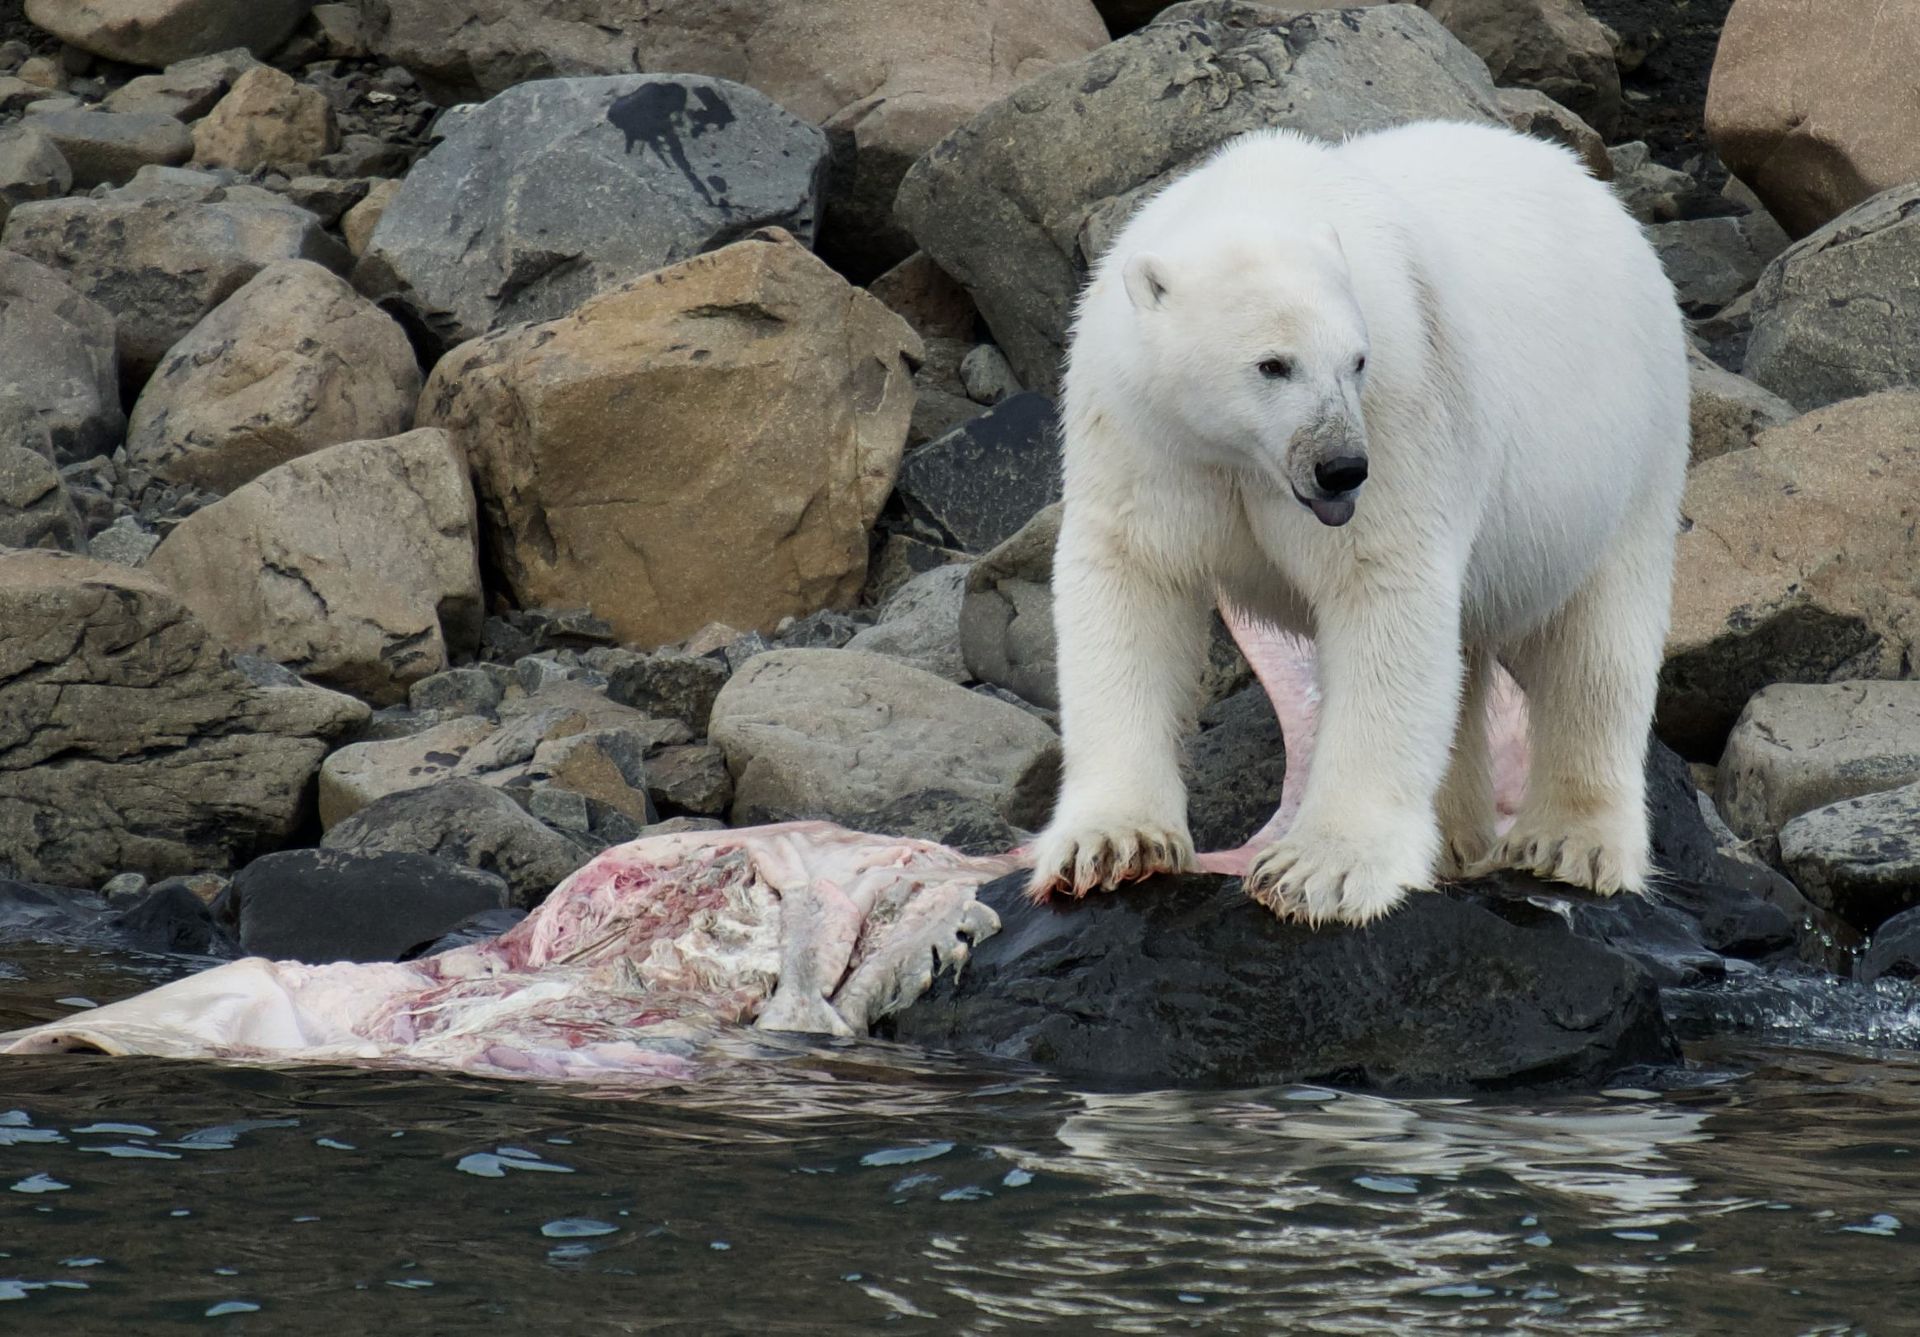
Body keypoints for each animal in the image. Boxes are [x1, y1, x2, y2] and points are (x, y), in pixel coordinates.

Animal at [1028, 120, 1690, 926]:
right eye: (1272, 364)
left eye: (1356, 361)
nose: (1341, 467)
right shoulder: (1143, 433)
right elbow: (1132, 578)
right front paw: (1111, 846)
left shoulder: (1407, 408)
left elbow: (1382, 594)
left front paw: (1321, 871)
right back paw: (1454, 841)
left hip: (1630, 443)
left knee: (1596, 641)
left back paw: (1570, 843)